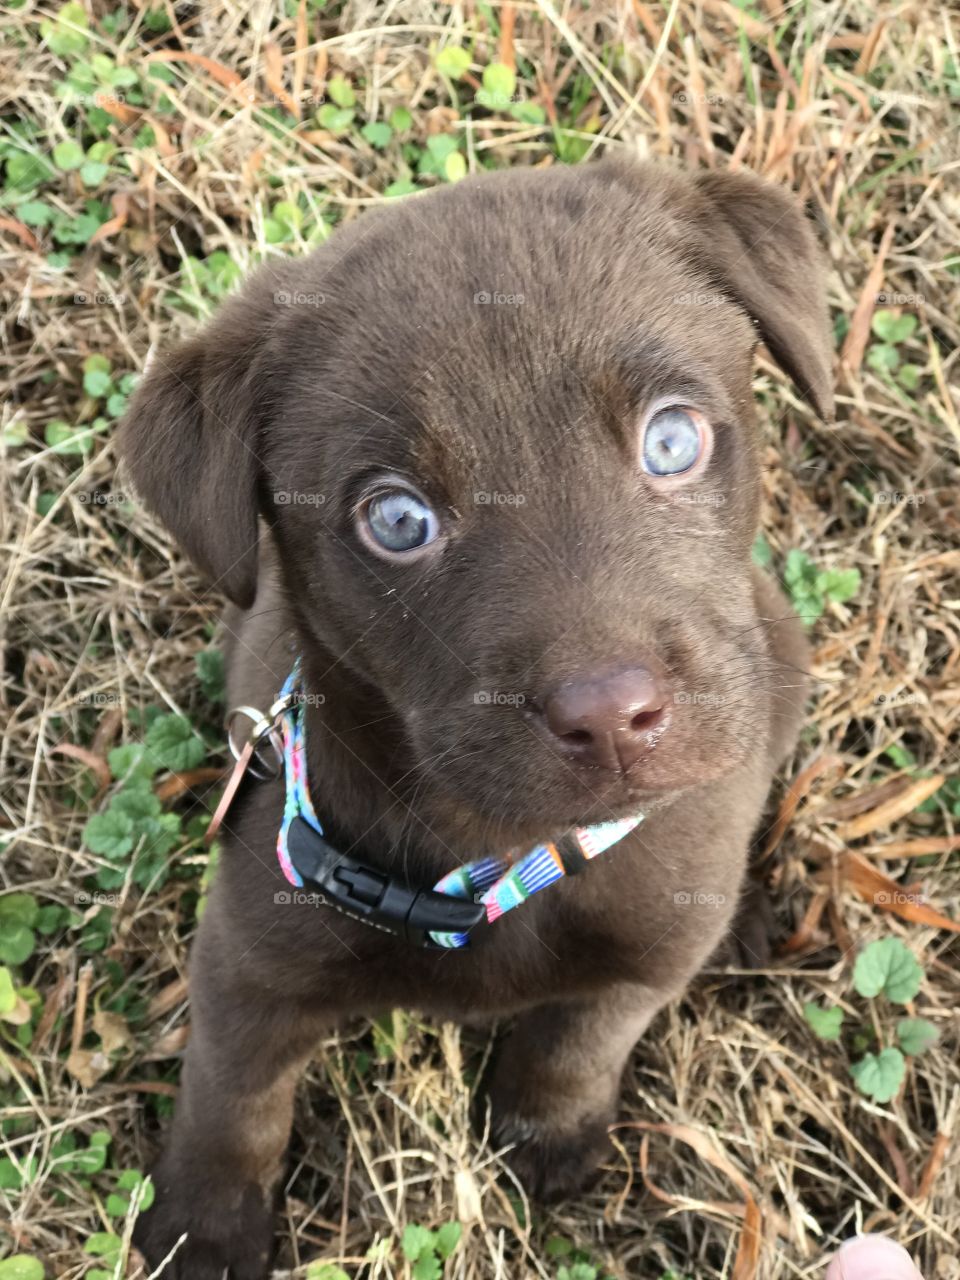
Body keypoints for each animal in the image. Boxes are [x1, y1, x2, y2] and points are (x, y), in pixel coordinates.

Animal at [122, 160, 834, 1280]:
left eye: (671, 438)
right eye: (397, 518)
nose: (611, 717)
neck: (505, 857)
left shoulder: (651, 939)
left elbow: (585, 1033)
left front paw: (548, 1132)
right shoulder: (249, 959)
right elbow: (231, 1098)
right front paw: (199, 1227)